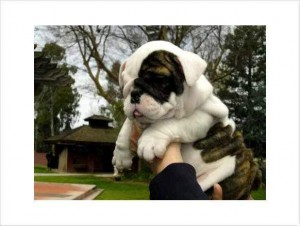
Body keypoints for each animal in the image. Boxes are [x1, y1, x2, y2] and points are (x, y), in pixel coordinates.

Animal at [112, 40, 241, 194]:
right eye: (125, 84)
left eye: (159, 80)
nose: (134, 94)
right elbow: (125, 128)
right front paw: (121, 155)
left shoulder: (205, 115)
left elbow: (171, 123)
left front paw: (151, 140)